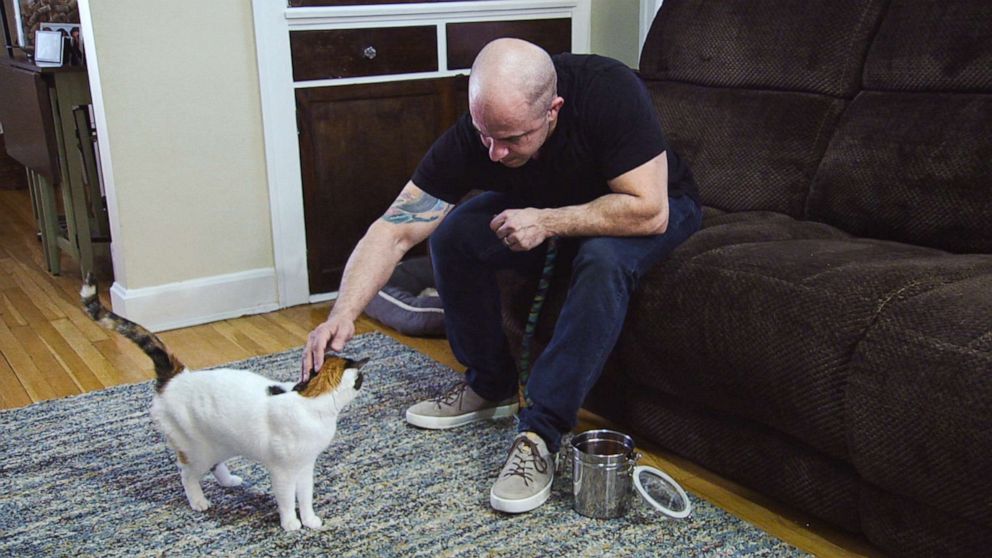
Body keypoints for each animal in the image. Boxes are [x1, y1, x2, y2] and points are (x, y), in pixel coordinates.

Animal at [76, 276, 364, 532]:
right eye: (360, 379)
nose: (364, 378)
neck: (312, 403)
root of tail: (178, 375)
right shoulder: (282, 472)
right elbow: (285, 500)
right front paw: (291, 524)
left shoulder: (305, 467)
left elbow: (305, 497)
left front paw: (309, 520)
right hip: (197, 450)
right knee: (187, 475)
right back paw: (199, 501)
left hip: (222, 443)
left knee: (215, 466)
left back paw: (230, 481)